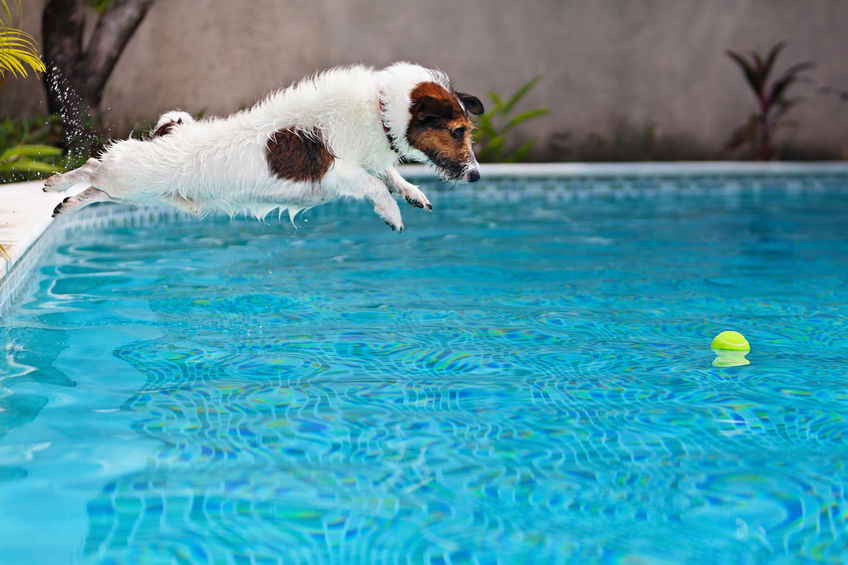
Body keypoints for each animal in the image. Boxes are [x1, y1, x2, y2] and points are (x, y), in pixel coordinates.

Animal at [44, 64, 484, 234]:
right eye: (457, 131)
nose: (477, 175)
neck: (380, 110)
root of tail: (166, 134)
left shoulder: (371, 160)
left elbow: (390, 175)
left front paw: (413, 193)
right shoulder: (339, 171)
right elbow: (375, 185)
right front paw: (392, 213)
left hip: (140, 193)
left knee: (95, 191)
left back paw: (65, 204)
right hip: (130, 177)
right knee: (92, 167)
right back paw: (55, 184)